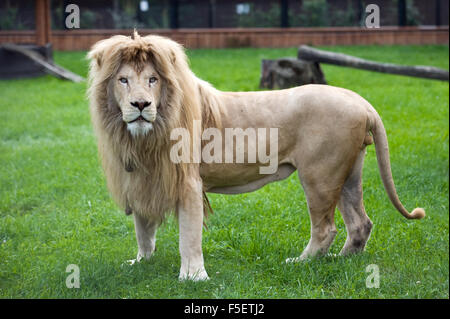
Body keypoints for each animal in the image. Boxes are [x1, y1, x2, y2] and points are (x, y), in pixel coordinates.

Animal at [87, 31, 426, 282]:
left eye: (153, 80)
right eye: (123, 80)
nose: (141, 104)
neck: (141, 137)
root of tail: (362, 102)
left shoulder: (188, 182)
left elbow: (188, 235)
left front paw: (193, 277)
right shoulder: (139, 177)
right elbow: (143, 229)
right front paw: (140, 262)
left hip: (320, 175)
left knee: (325, 228)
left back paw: (301, 262)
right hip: (348, 174)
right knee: (360, 224)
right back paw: (341, 262)